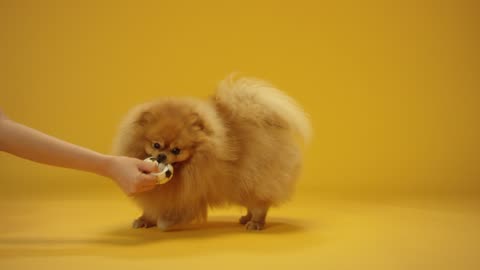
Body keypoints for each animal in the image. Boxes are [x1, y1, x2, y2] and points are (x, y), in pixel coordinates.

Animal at [114, 75, 314, 230]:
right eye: (156, 145)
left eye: (177, 150)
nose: (162, 156)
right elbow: (152, 206)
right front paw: (144, 220)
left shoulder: (192, 192)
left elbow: (177, 210)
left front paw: (166, 222)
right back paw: (246, 218)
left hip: (255, 178)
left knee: (260, 204)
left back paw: (256, 223)